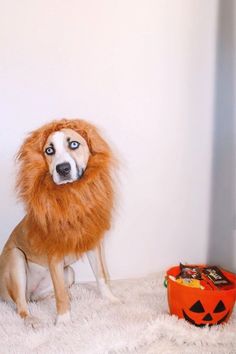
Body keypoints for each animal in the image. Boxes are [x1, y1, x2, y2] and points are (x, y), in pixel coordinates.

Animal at [0, 120, 118, 328]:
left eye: (74, 144)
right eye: (49, 150)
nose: (62, 169)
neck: (71, 200)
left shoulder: (93, 245)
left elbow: (101, 275)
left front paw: (110, 299)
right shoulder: (54, 256)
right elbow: (60, 294)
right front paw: (63, 321)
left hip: (68, 272)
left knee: (41, 296)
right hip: (16, 258)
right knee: (21, 305)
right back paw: (32, 319)